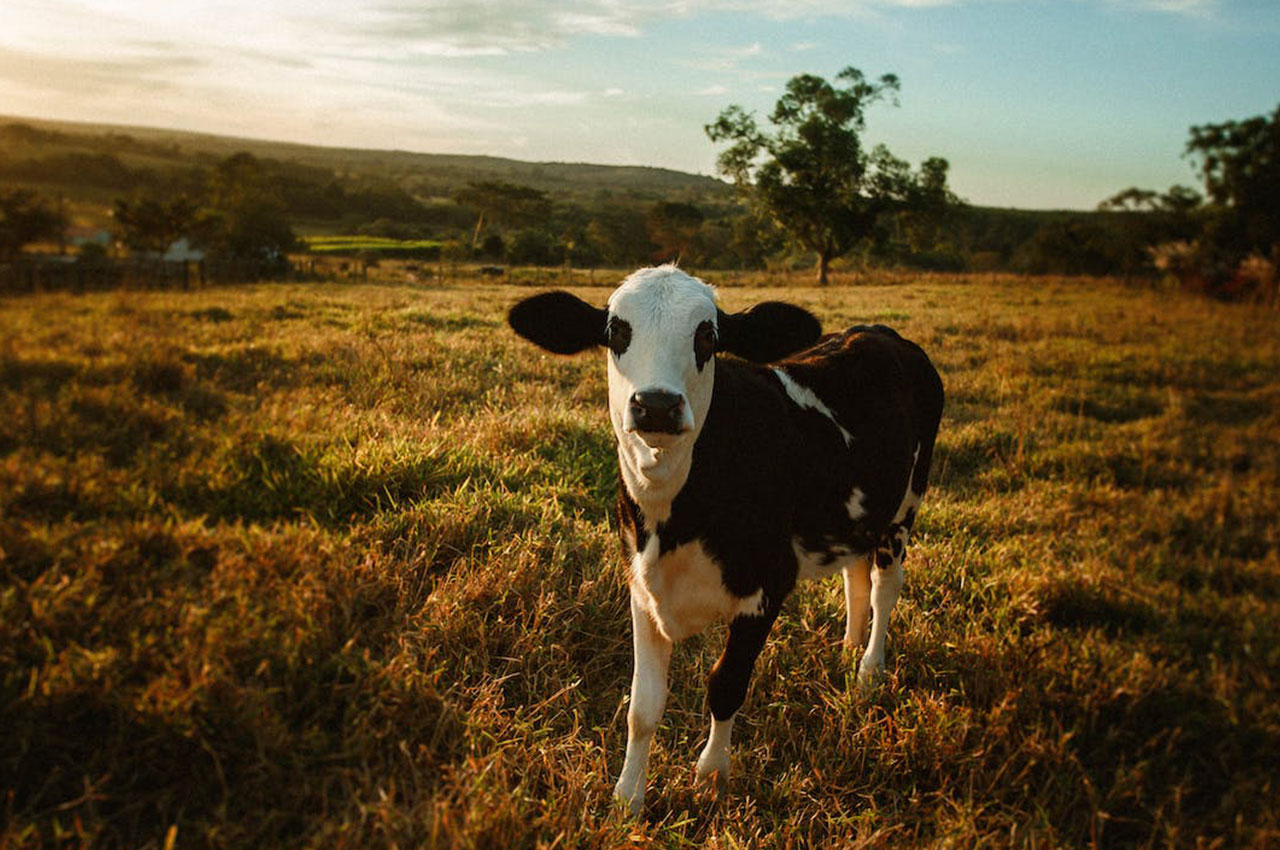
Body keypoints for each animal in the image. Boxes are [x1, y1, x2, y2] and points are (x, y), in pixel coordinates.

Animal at [506, 268, 942, 814]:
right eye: (616, 332)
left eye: (707, 337)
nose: (656, 404)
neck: (672, 519)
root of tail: (878, 330)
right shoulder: (641, 586)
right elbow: (642, 705)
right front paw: (627, 798)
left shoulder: (768, 586)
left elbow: (726, 683)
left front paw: (712, 776)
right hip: (860, 515)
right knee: (855, 578)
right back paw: (846, 649)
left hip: (905, 506)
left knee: (886, 588)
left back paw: (868, 670)